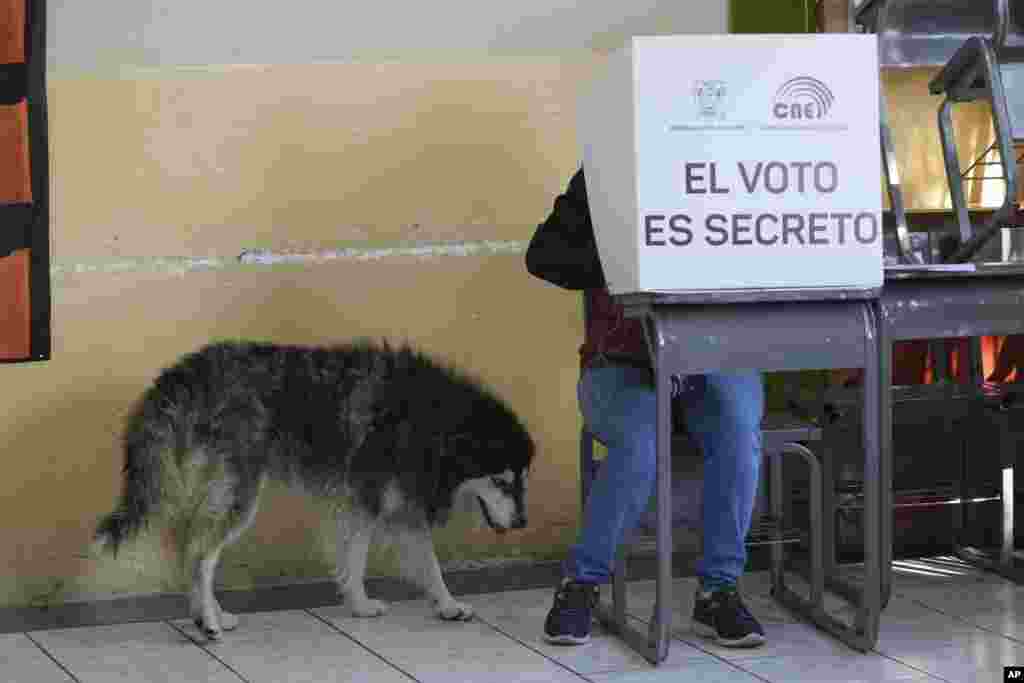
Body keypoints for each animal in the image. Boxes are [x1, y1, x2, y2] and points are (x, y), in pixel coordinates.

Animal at [96, 342, 536, 643]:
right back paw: (209, 623)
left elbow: (362, 559)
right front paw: (441, 604)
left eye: (522, 478)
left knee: (191, 549)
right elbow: (418, 562)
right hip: (239, 494)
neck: (435, 419)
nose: (523, 522)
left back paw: (211, 615)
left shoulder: (370, 506)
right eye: (500, 481)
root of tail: (181, 375)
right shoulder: (384, 502)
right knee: (203, 555)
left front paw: (369, 605)